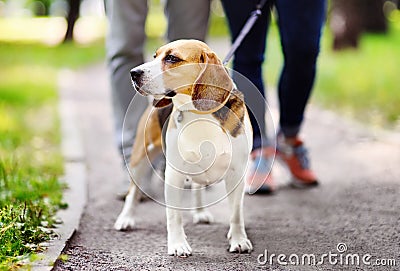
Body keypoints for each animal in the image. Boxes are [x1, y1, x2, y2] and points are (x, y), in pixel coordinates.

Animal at [114, 39, 253, 258]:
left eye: (172, 58)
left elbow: (236, 214)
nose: (134, 73)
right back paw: (125, 219)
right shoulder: (173, 175)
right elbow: (174, 215)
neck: (200, 114)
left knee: (197, 187)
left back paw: (200, 212)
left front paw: (238, 240)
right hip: (140, 159)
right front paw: (178, 245)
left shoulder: (237, 174)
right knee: (132, 192)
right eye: (155, 56)